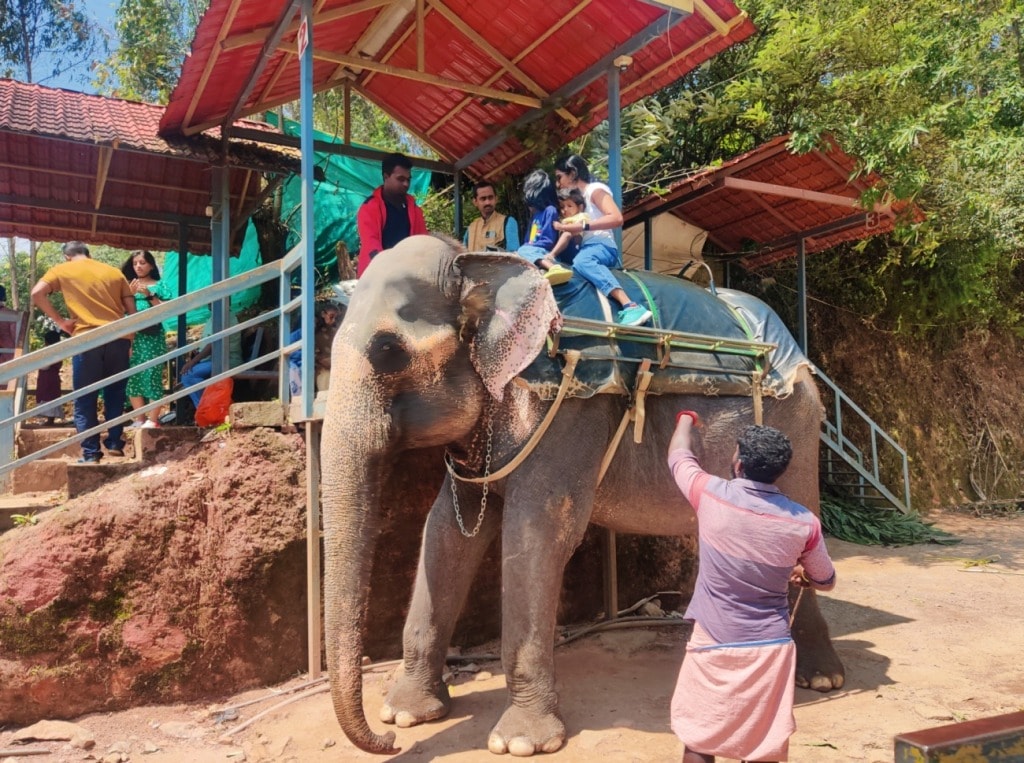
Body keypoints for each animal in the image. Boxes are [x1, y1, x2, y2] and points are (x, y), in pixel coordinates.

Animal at [321, 234, 844, 756]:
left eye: (389, 351)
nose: (387, 741)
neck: (475, 262)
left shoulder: (571, 405)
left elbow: (538, 533)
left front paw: (520, 743)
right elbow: (447, 532)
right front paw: (408, 713)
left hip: (796, 427)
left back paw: (821, 680)